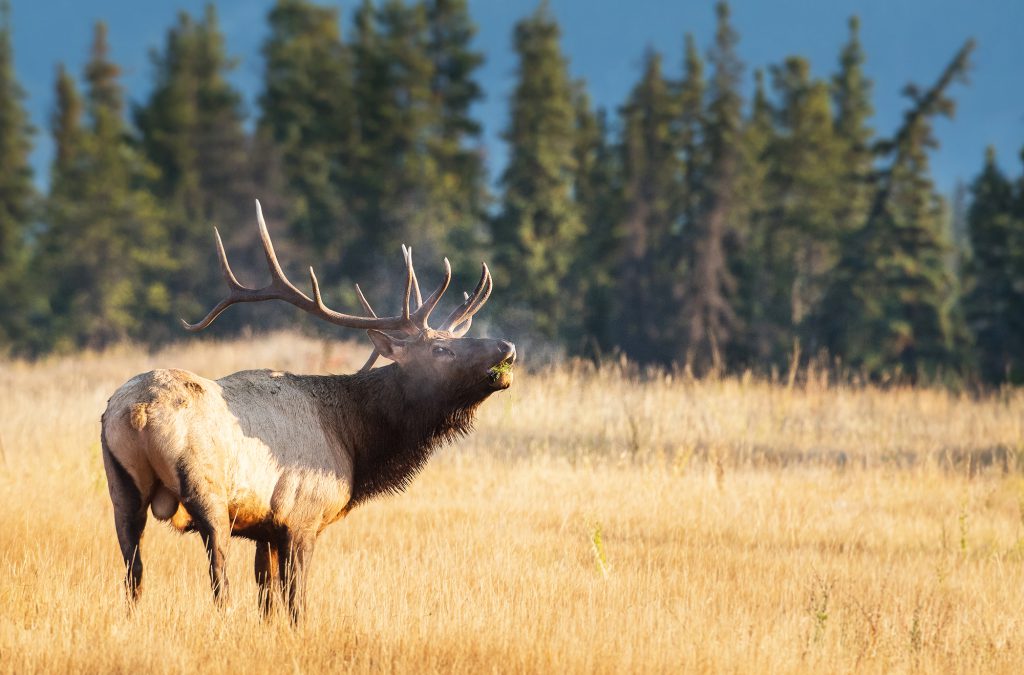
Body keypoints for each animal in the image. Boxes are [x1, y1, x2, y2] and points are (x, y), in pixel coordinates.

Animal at [99, 200, 516, 622]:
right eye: (440, 349)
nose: (507, 347)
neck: (354, 441)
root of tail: (139, 412)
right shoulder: (303, 516)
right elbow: (295, 601)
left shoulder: (264, 529)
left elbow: (267, 598)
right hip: (206, 490)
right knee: (218, 575)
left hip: (121, 489)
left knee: (132, 572)